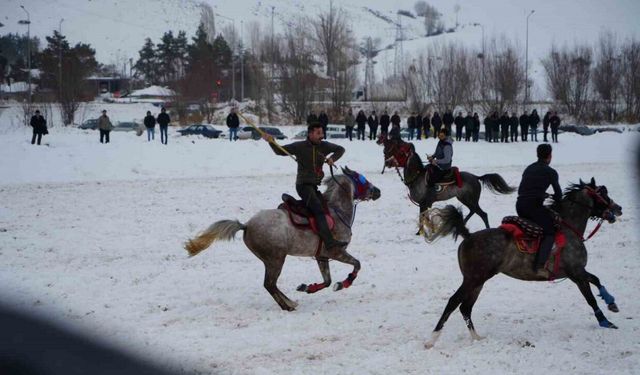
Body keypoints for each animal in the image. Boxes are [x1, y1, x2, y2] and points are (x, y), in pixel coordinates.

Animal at [184, 167, 380, 312]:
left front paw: (308, 287)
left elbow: (327, 280)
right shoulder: (336, 251)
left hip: (270, 260)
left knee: (271, 285)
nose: (377, 191)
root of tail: (246, 225)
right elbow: (356, 265)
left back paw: (290, 302)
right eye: (362, 179)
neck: (336, 211)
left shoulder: (321, 256)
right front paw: (343, 284)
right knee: (269, 284)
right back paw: (288, 305)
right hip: (276, 259)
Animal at [378, 135, 516, 229]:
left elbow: (423, 218)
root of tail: (476, 177)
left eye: (400, 152)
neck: (417, 177)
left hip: (470, 199)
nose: (387, 162)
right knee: (474, 211)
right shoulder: (424, 205)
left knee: (483, 214)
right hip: (465, 199)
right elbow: (425, 218)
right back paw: (463, 223)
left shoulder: (424, 203)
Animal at [422, 179, 624, 350]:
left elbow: (596, 280)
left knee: (465, 307)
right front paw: (606, 321)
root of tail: (468, 236)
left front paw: (611, 303)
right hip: (473, 279)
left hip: (478, 281)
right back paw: (431, 340)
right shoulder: (576, 273)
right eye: (602, 193)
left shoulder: (576, 273)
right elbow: (591, 297)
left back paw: (476, 337)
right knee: (453, 302)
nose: (619, 208)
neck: (568, 228)